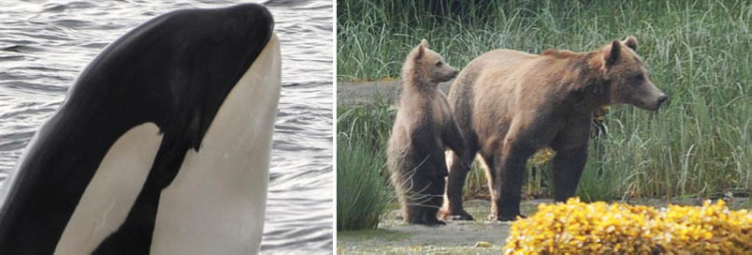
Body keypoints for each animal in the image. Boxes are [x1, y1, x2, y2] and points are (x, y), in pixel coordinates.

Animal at [444, 36, 668, 221]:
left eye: (645, 73)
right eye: (637, 76)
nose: (660, 97)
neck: (575, 93)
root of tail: (469, 64)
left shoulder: (575, 118)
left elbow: (570, 159)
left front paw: (565, 203)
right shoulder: (539, 110)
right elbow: (517, 148)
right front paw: (510, 212)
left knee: (491, 164)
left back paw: (491, 208)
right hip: (469, 107)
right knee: (461, 156)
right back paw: (459, 212)